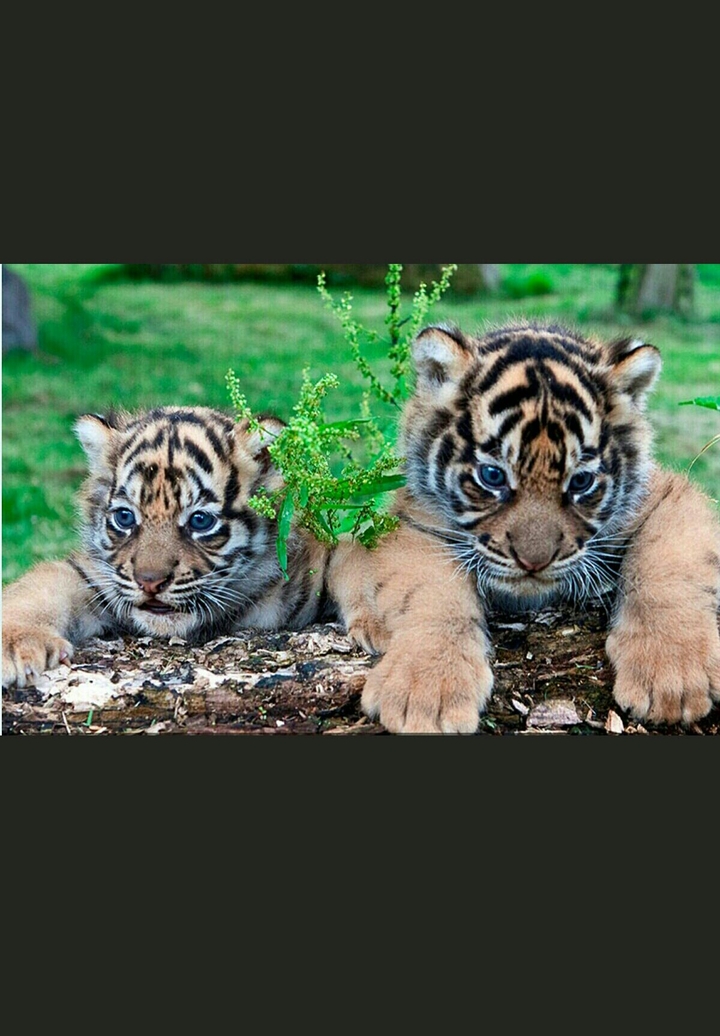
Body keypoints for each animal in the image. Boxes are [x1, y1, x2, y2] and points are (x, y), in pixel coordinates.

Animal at [2, 405, 332, 689]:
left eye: (200, 521)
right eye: (125, 517)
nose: (150, 582)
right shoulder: (91, 576)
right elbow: (38, 588)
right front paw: (14, 644)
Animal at [327, 320, 720, 734]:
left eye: (580, 482)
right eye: (492, 475)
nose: (534, 562)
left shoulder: (670, 495)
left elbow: (667, 568)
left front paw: (673, 676)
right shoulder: (413, 521)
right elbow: (431, 593)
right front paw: (427, 690)